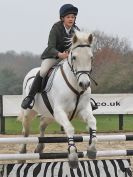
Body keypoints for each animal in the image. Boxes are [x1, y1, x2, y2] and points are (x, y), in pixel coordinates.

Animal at [18, 31, 96, 169]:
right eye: (74, 57)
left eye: (91, 57)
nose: (84, 84)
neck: (75, 85)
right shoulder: (60, 111)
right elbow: (69, 128)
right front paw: (73, 157)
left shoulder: (82, 111)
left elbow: (92, 121)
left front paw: (92, 150)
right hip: (30, 112)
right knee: (25, 131)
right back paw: (22, 156)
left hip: (50, 114)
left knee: (42, 124)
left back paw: (39, 148)